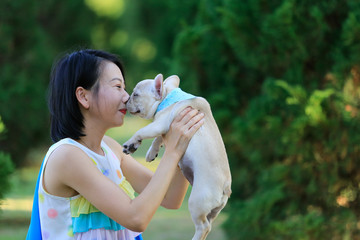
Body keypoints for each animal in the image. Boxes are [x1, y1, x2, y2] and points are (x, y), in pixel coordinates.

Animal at [123, 73, 231, 240]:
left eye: (136, 95)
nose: (127, 99)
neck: (167, 96)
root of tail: (226, 186)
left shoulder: (160, 123)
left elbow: (142, 131)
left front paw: (131, 144)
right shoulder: (165, 127)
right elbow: (158, 138)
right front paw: (152, 152)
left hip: (197, 201)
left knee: (203, 226)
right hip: (213, 211)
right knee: (209, 224)